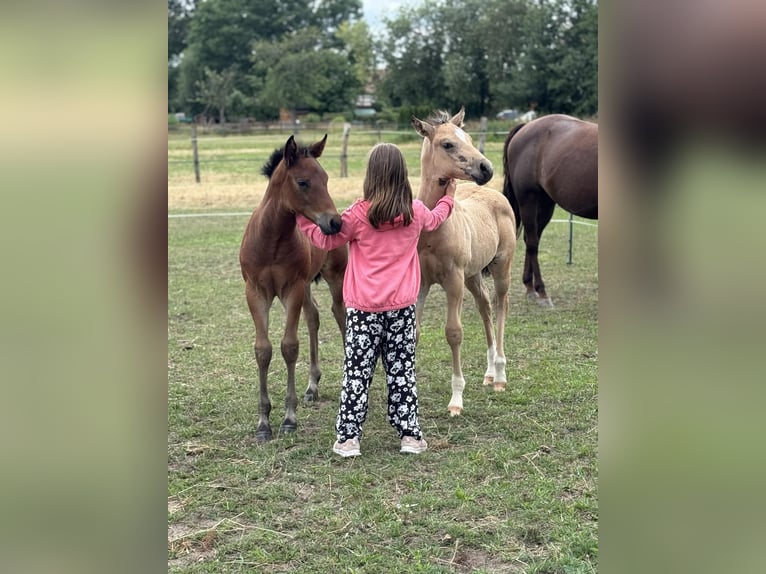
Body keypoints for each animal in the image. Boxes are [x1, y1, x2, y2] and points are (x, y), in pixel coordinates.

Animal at [240, 137, 348, 444]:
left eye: (326, 179)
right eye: (303, 182)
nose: (335, 223)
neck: (272, 239)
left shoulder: (293, 289)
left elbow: (289, 347)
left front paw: (289, 418)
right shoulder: (256, 292)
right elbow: (263, 350)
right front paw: (263, 422)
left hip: (335, 278)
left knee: (340, 315)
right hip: (308, 286)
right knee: (314, 317)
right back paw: (312, 387)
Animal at [414, 108, 516, 416]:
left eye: (469, 138)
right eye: (447, 144)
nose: (486, 169)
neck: (433, 229)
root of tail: (494, 192)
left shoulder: (453, 280)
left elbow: (454, 333)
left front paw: (456, 399)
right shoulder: (421, 282)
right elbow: (415, 333)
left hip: (500, 268)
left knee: (501, 305)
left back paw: (500, 375)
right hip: (473, 276)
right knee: (485, 307)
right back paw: (489, 373)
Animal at [504, 114, 600, 308]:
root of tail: (525, 127)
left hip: (545, 205)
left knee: (531, 239)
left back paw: (529, 288)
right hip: (528, 200)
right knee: (532, 242)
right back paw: (541, 292)